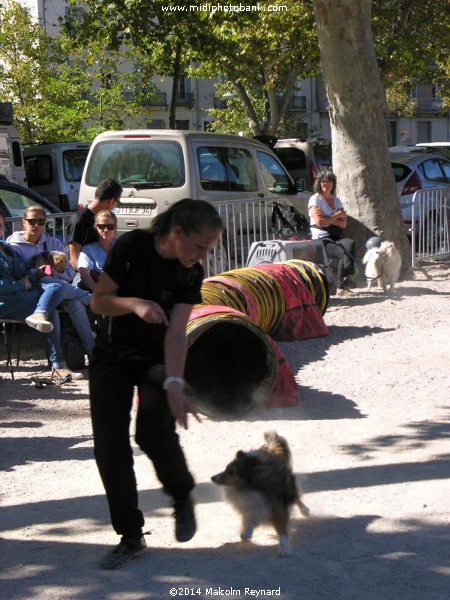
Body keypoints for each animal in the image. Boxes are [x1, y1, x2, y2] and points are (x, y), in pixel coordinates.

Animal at [211, 428, 310, 556]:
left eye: (231, 471)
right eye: (226, 468)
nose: (212, 478)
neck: (250, 487)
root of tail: (270, 451)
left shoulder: (277, 508)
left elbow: (282, 530)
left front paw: (285, 549)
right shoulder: (251, 505)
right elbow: (250, 519)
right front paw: (246, 532)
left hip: (289, 488)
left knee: (296, 498)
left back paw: (305, 511)